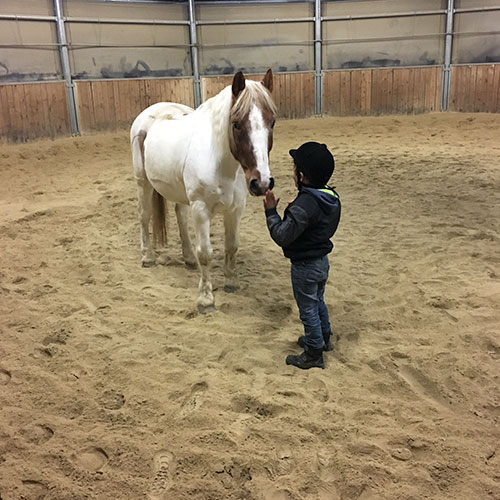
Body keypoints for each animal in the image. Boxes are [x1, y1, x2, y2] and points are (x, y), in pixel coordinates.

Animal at [130, 69, 278, 312]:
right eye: (236, 124)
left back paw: (189, 258)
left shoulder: (235, 209)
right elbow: (206, 253)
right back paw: (148, 257)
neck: (221, 162)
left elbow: (231, 246)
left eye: (272, 122)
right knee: (144, 216)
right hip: (144, 184)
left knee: (180, 216)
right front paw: (206, 299)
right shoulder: (200, 209)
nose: (262, 183)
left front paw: (231, 282)